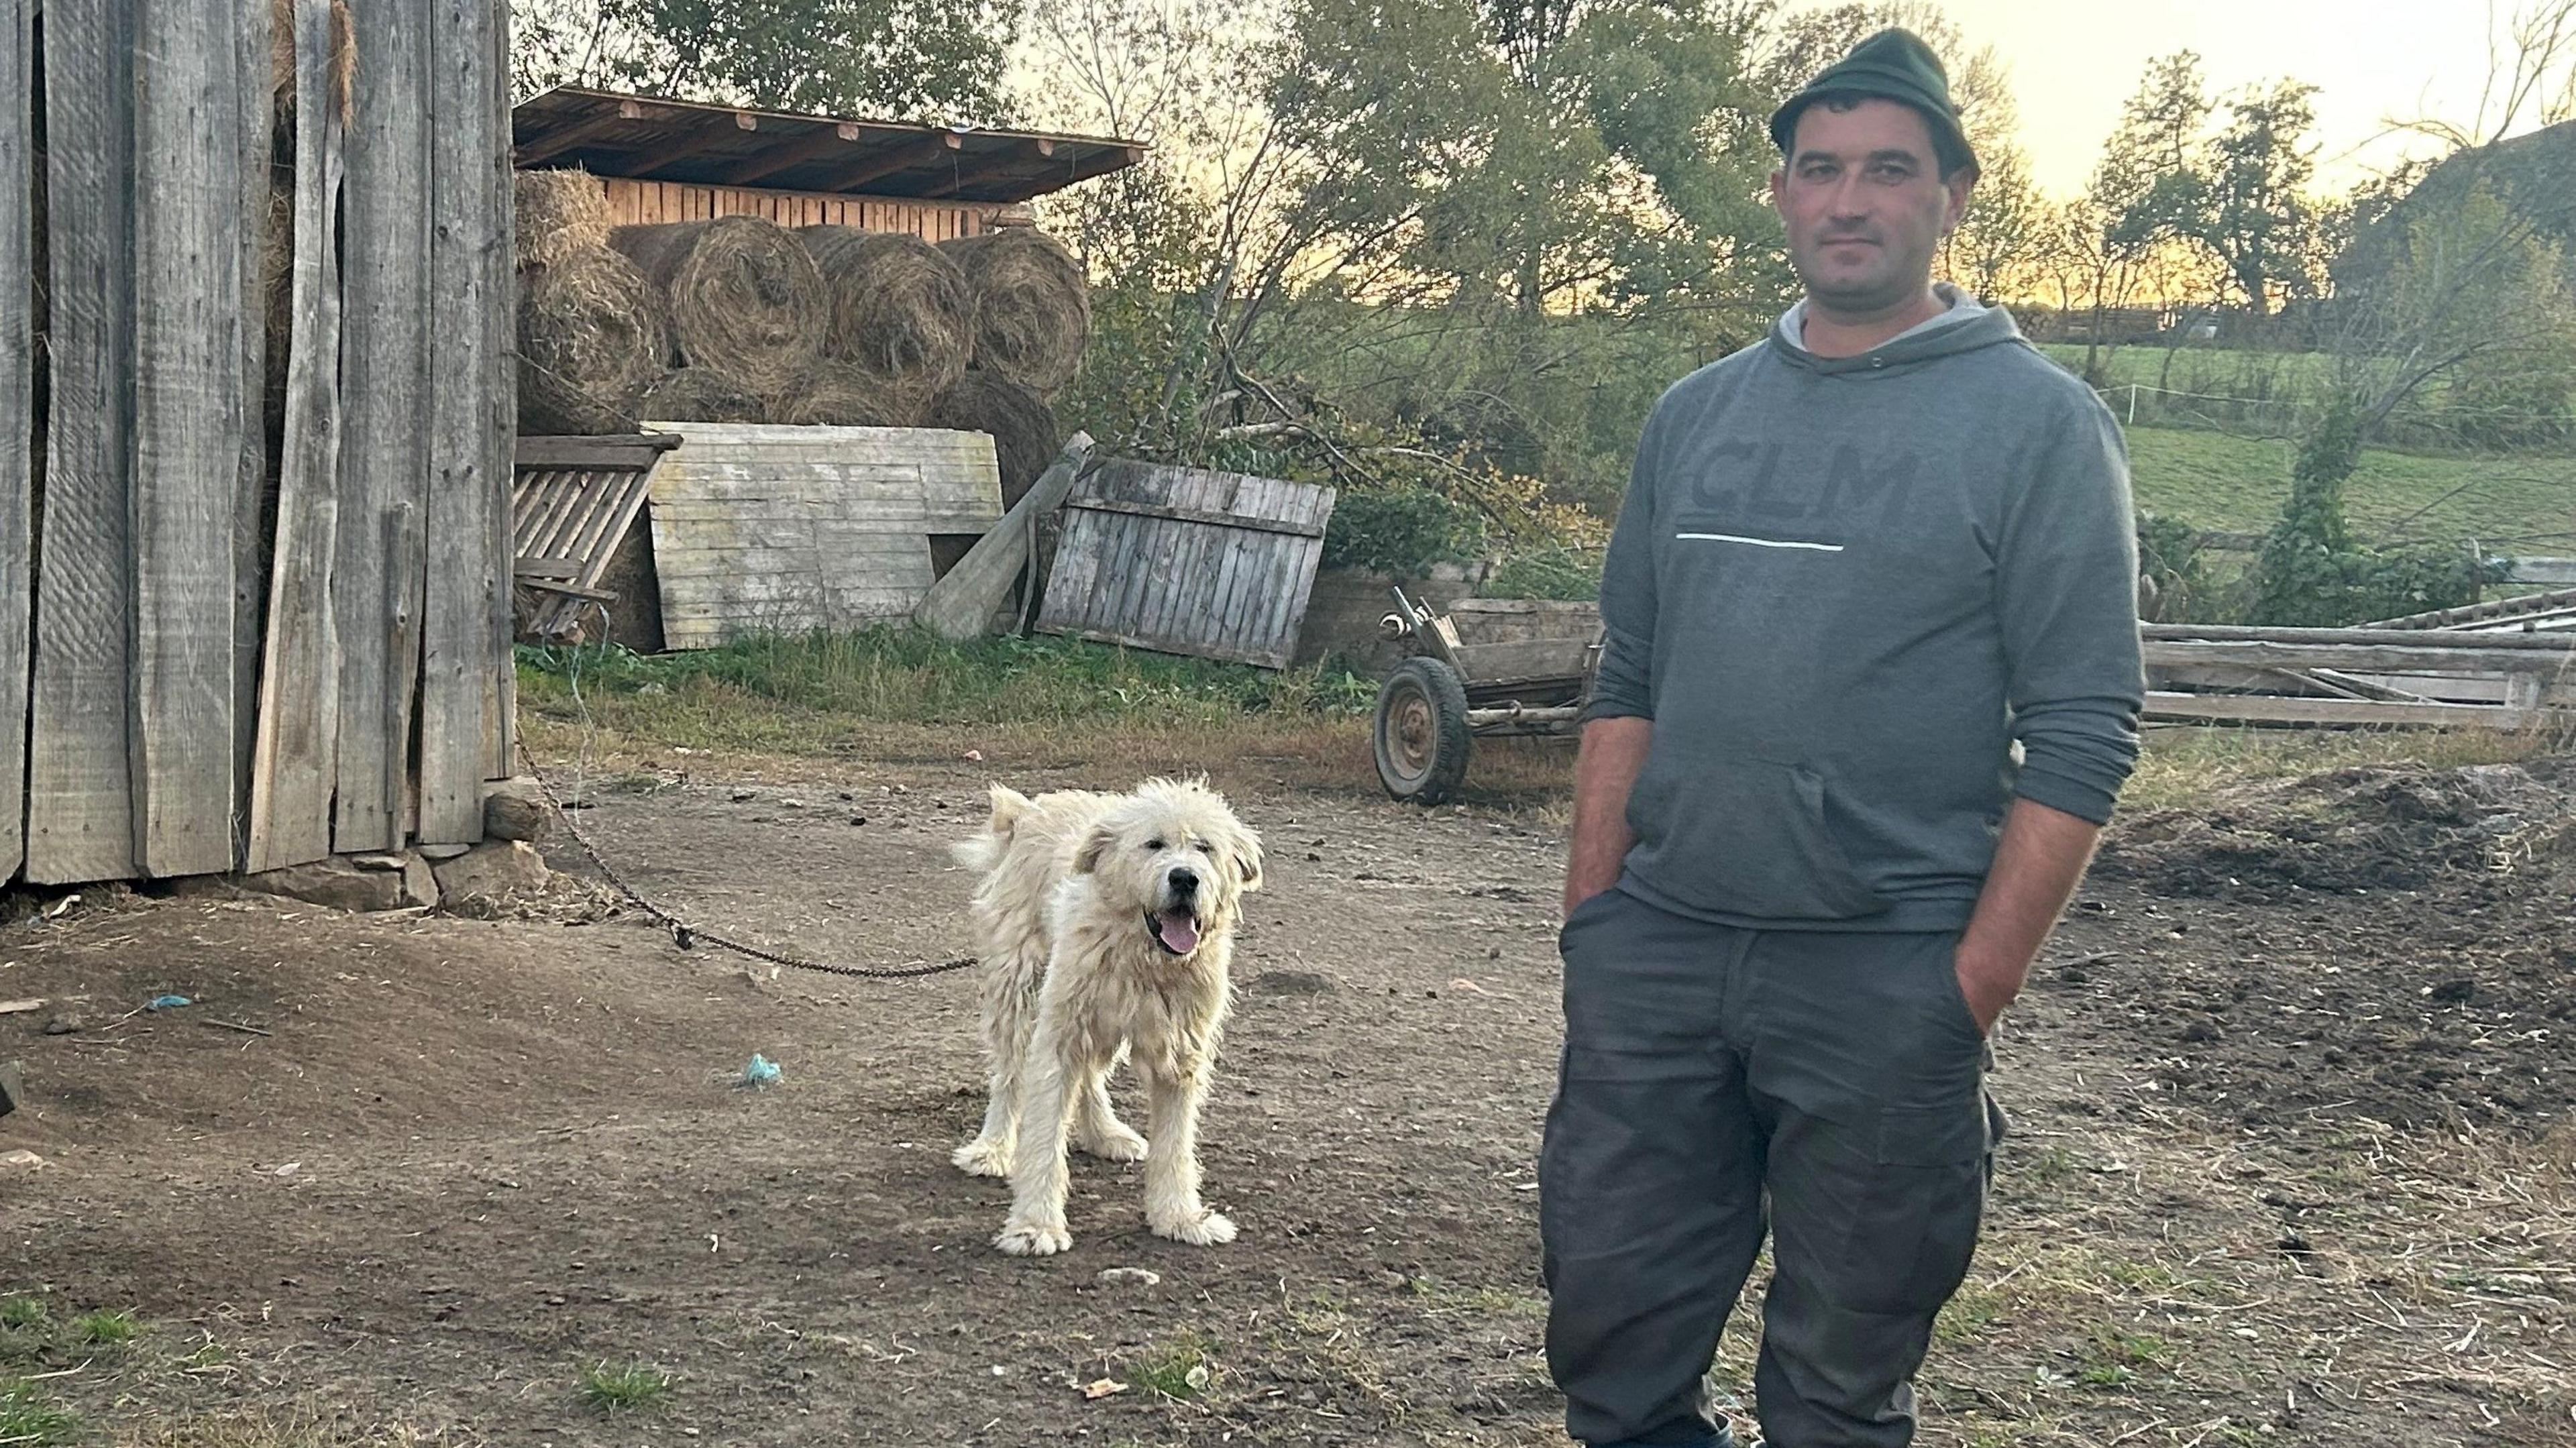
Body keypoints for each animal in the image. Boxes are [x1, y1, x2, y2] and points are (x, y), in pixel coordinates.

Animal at [948, 767, 1267, 1252]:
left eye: (1205, 847)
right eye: (1154, 844)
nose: (1185, 879)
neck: (1142, 957)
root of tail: (1028, 811)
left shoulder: (1181, 1051)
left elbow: (1176, 1143)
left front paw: (1180, 1215)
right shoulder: (1058, 1037)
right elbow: (1043, 1137)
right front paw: (1036, 1225)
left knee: (1090, 1078)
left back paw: (1105, 1133)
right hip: (1019, 990)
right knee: (1009, 1076)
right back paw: (993, 1148)